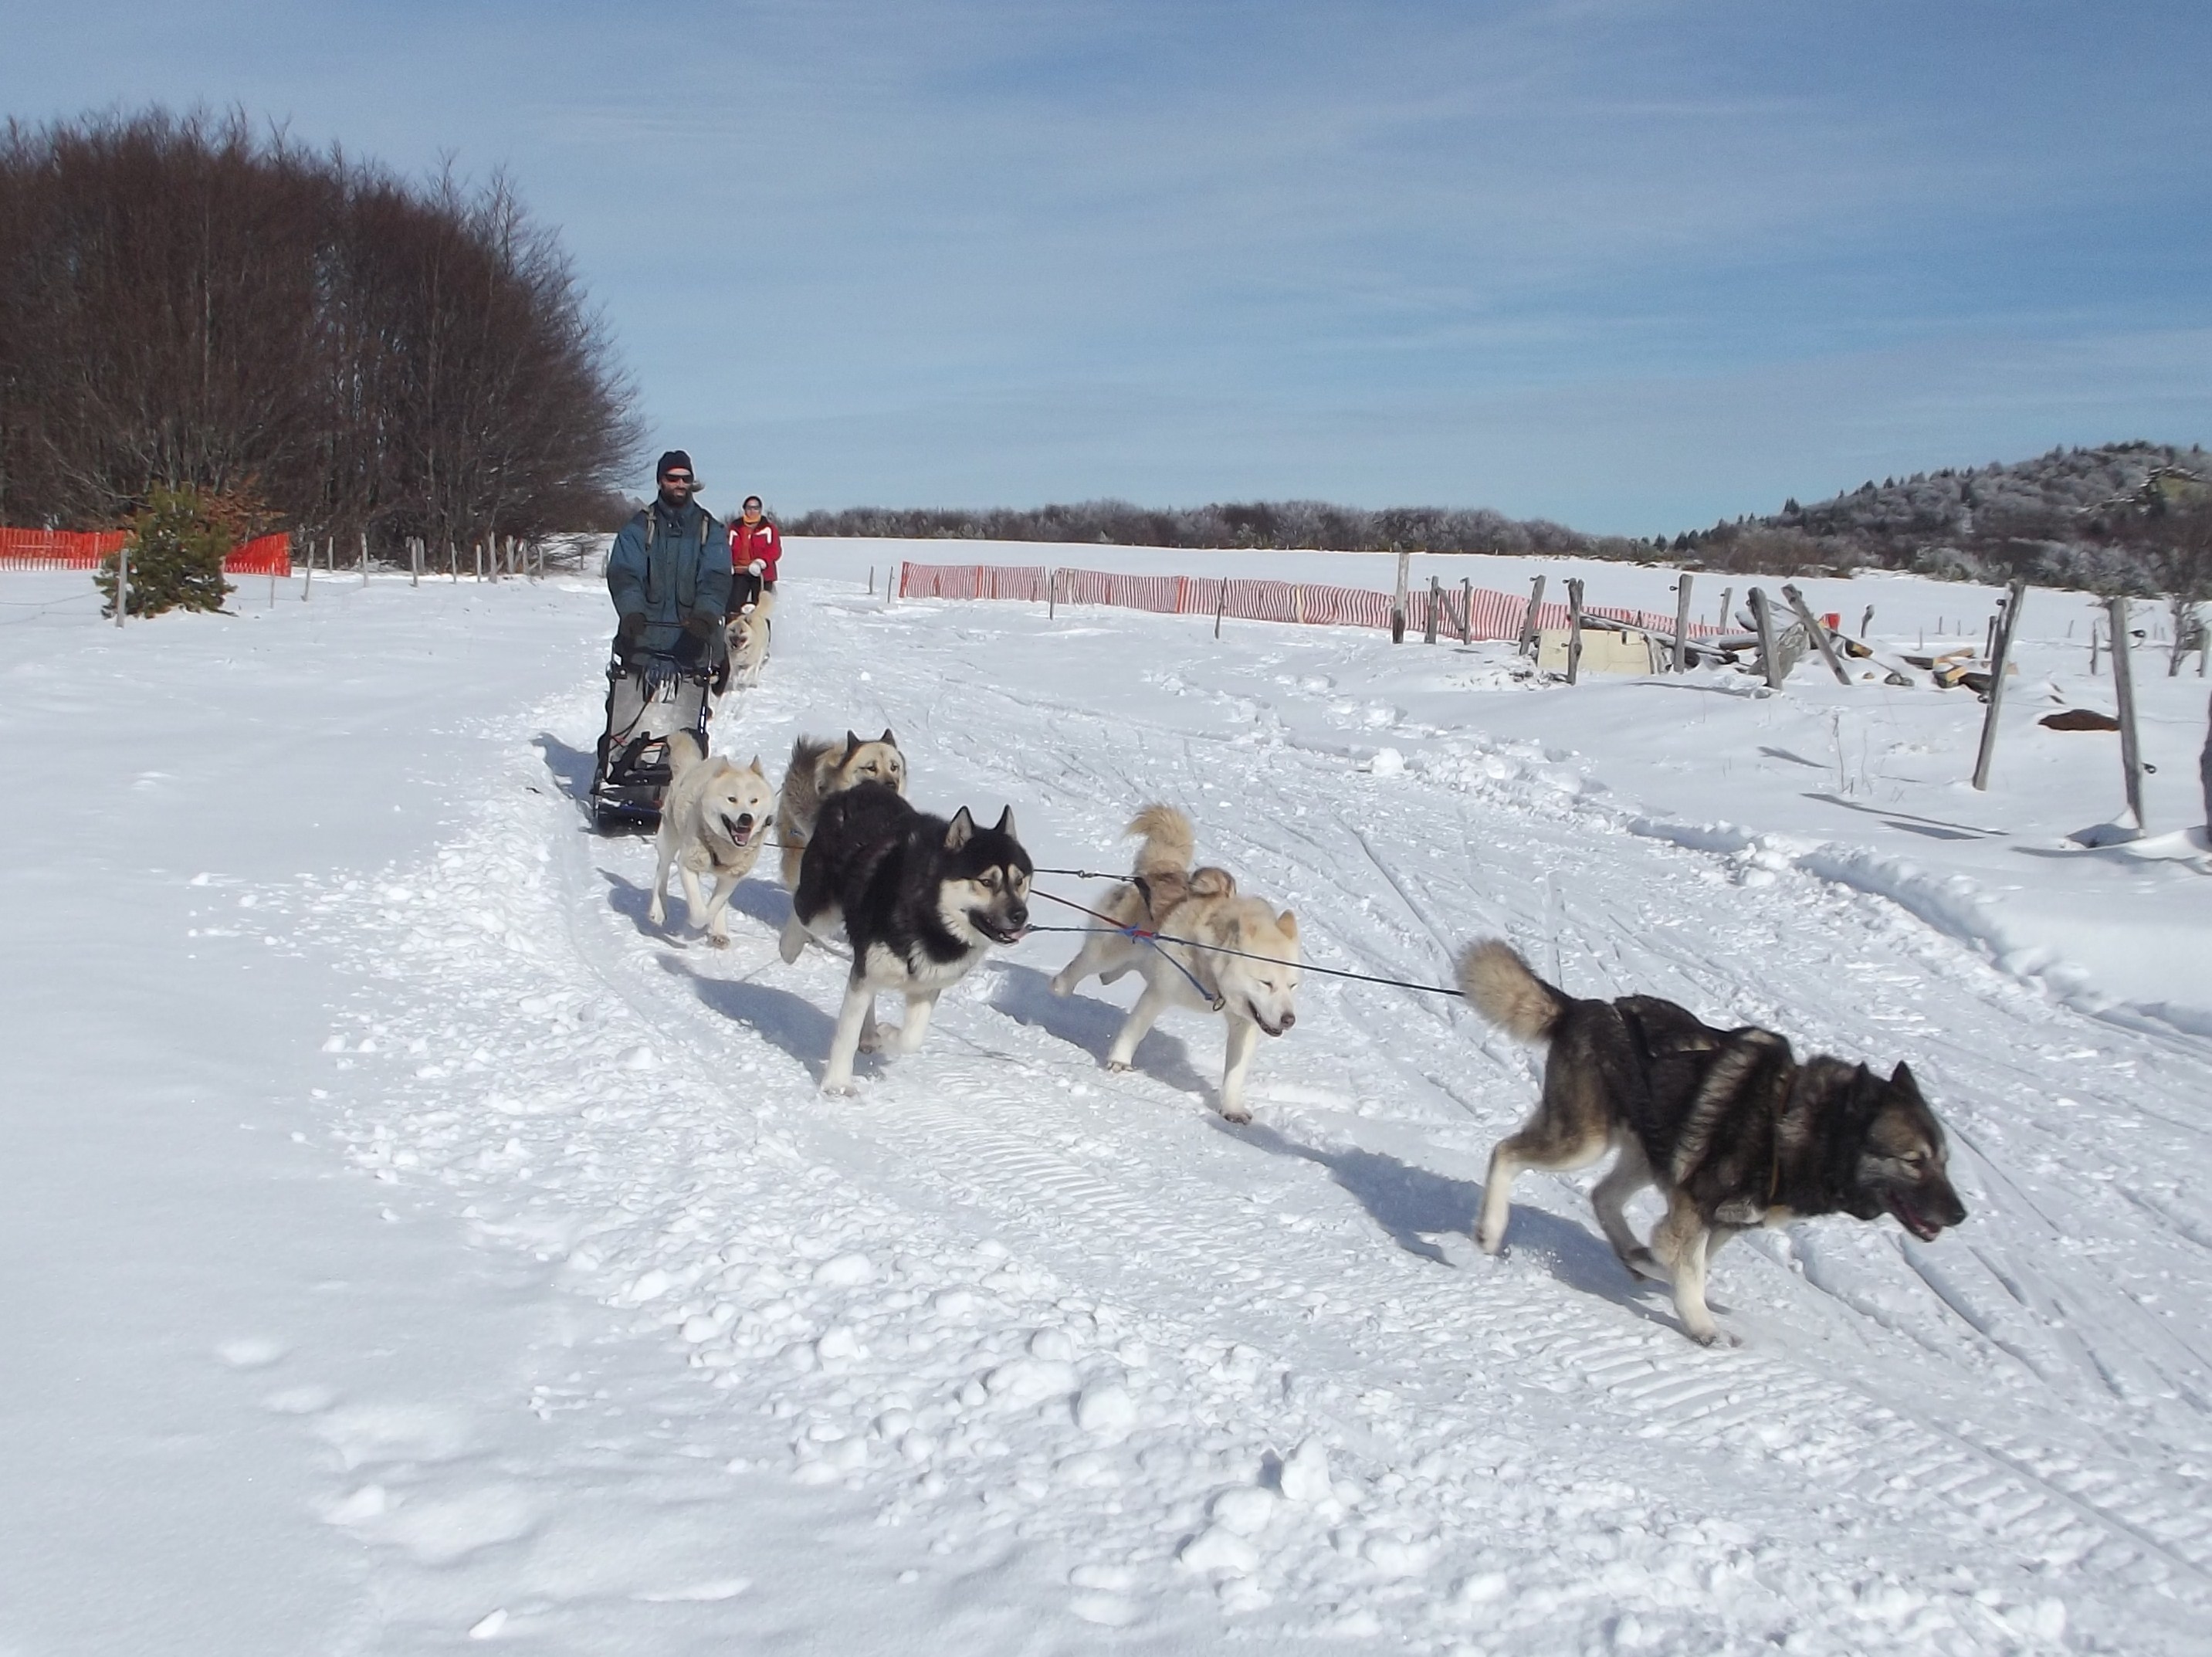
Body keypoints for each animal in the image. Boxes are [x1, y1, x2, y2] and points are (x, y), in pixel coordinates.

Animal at [645, 734, 774, 951]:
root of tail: (693, 765)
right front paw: (692, 929)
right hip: (669, 839)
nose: (746, 818)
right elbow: (699, 912)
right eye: (732, 799)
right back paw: (658, 909)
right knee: (661, 872)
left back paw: (720, 933)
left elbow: (716, 905)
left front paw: (714, 927)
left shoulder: (732, 877)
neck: (724, 848)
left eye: (754, 800)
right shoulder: (687, 865)